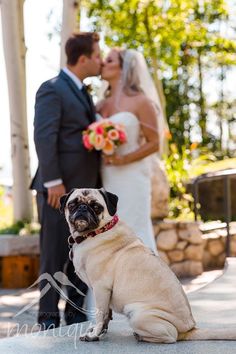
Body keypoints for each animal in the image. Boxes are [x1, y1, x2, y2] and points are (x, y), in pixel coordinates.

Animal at [60, 188, 236, 342]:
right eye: (72, 204)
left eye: (96, 207)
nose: (83, 207)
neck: (97, 231)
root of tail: (190, 330)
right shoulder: (103, 292)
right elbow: (106, 317)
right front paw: (101, 332)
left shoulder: (101, 288)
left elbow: (100, 314)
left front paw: (93, 335)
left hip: (137, 314)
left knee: (171, 337)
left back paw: (142, 336)